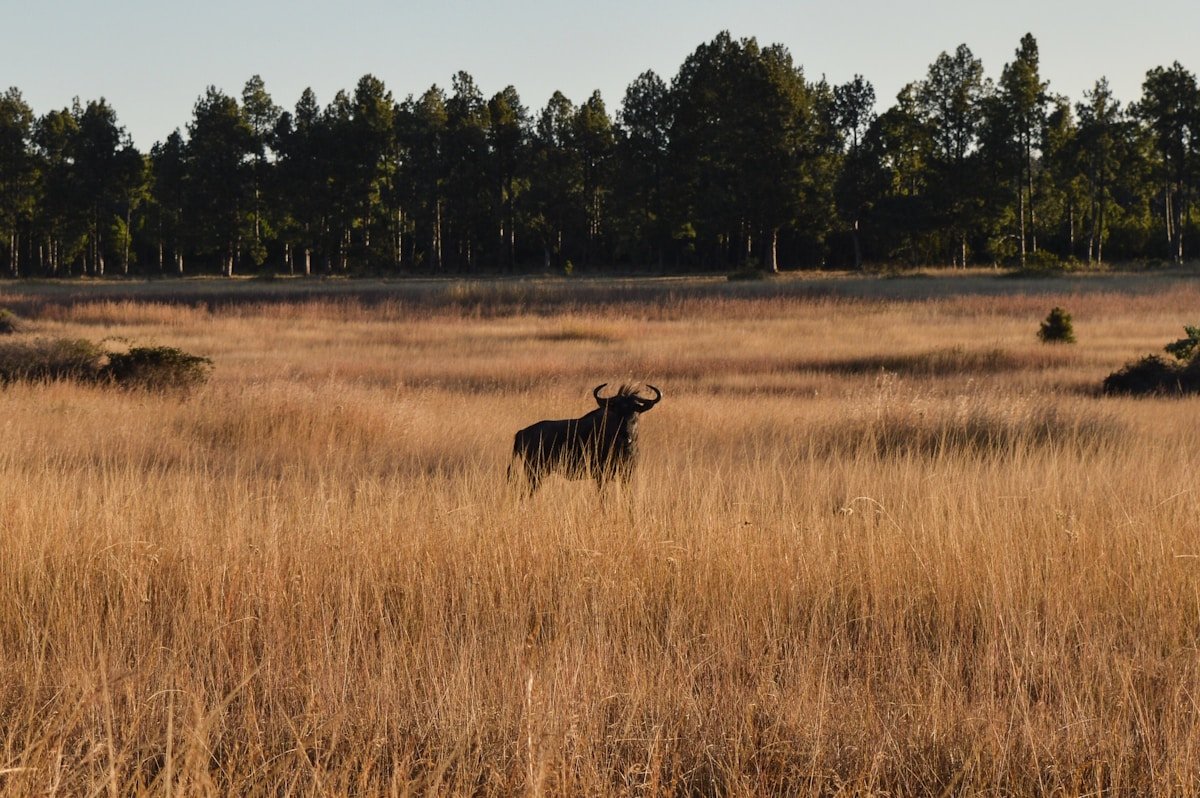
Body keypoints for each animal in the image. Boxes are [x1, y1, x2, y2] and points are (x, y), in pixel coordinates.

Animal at [509, 383, 662, 494]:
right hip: (534, 473)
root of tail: (521, 433)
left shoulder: (627, 476)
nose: (626, 438)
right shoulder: (601, 476)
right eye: (616, 412)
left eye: (635, 413)